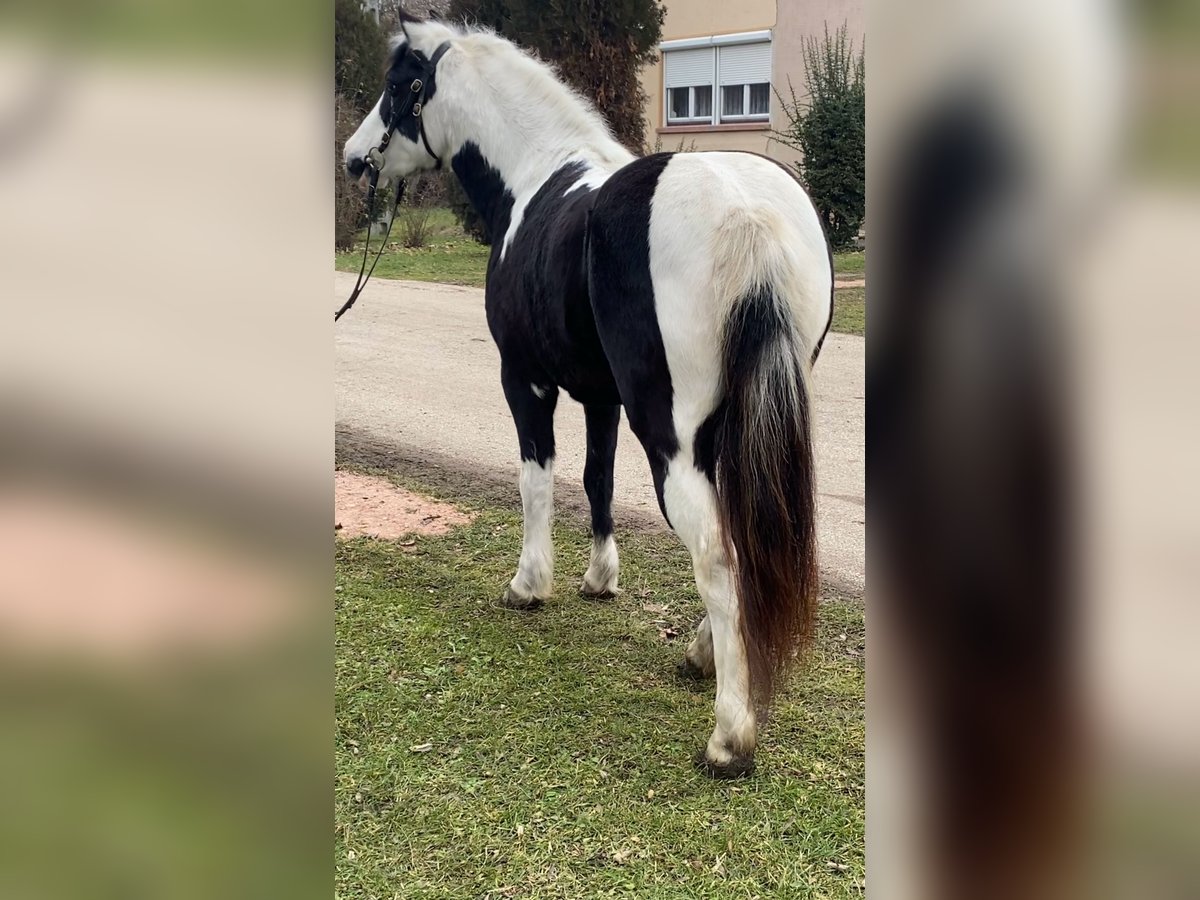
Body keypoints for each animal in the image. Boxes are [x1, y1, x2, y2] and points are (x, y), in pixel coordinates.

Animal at [345, 14, 835, 777]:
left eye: (400, 85)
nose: (354, 160)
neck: (535, 176)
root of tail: (746, 213)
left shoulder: (526, 381)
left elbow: (538, 479)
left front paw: (529, 584)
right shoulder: (601, 397)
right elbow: (596, 477)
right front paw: (600, 578)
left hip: (672, 439)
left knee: (716, 552)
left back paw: (729, 737)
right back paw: (701, 657)